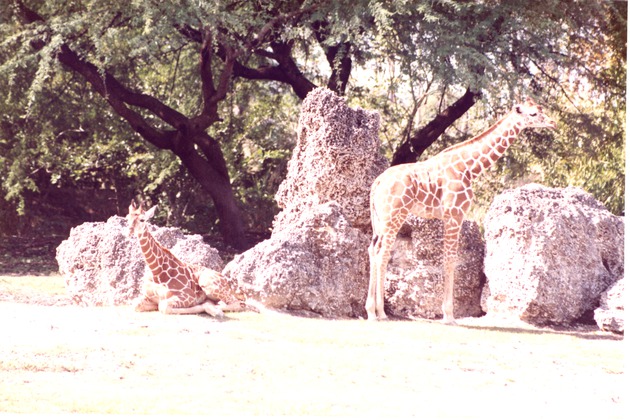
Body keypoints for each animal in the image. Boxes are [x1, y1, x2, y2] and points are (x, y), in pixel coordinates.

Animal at [366, 98, 556, 324]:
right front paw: (449, 316)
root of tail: (377, 182)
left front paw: (447, 313)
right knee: (383, 253)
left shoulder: (450, 217)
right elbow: (450, 260)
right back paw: (380, 313)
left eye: (541, 109)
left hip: (380, 220)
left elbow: (448, 259)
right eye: (534, 114)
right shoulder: (454, 214)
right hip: (395, 215)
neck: (470, 168)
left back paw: (371, 311)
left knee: (373, 250)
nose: (553, 123)